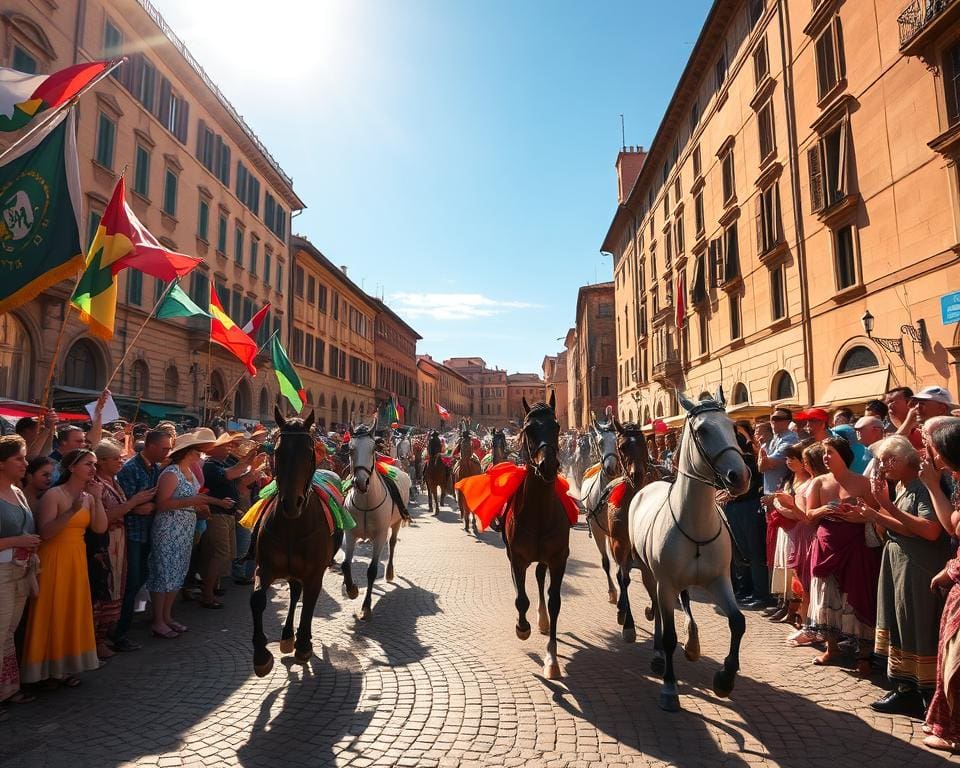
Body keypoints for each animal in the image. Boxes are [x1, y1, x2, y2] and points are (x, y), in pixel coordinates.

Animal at [251, 404, 334, 676]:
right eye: (278, 451)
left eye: (309, 452)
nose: (290, 503)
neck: (292, 525)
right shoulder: (264, 568)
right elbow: (257, 600)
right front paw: (261, 655)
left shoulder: (314, 573)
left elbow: (309, 604)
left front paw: (304, 644)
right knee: (295, 592)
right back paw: (287, 635)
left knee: (300, 594)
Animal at [340, 416, 410, 620]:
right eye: (350, 449)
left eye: (373, 449)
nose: (361, 482)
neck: (366, 501)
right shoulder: (350, 533)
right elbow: (345, 565)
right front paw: (352, 590)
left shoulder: (379, 535)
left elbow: (371, 571)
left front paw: (366, 606)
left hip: (395, 523)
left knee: (392, 544)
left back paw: (390, 572)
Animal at [576, 416, 624, 604]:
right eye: (600, 442)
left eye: (617, 439)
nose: (611, 468)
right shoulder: (597, 530)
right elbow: (605, 562)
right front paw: (612, 591)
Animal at [628, 392, 752, 712]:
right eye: (703, 430)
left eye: (732, 426)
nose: (740, 476)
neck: (695, 523)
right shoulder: (666, 582)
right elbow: (669, 635)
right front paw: (669, 688)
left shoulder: (720, 580)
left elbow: (738, 622)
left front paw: (725, 678)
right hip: (650, 574)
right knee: (660, 611)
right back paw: (659, 654)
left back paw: (692, 642)